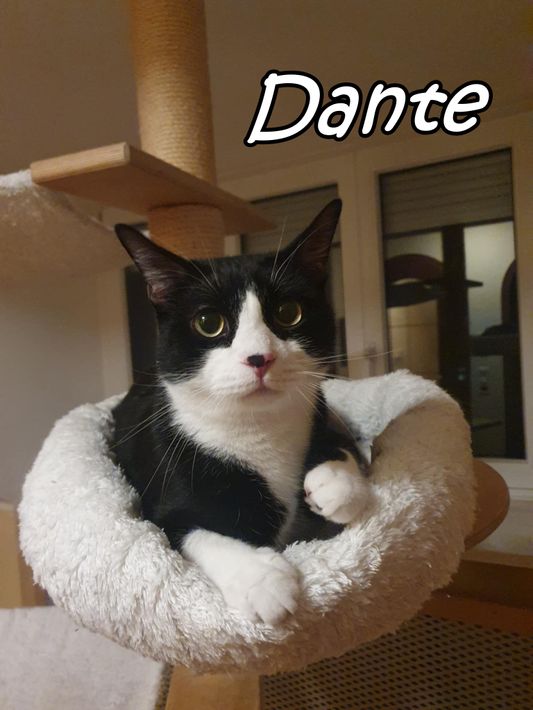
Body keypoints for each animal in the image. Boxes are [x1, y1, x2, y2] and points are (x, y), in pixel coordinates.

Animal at [112, 199, 370, 625]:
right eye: (208, 322)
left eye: (288, 312)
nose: (259, 357)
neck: (258, 428)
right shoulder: (161, 504)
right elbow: (190, 531)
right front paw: (262, 581)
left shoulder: (319, 412)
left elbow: (338, 438)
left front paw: (337, 483)